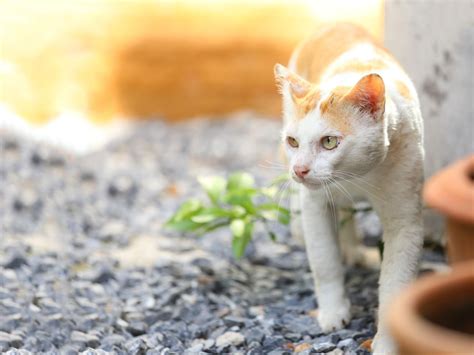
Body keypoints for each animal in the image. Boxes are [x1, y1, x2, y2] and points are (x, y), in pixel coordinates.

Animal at [274, 23, 426, 354]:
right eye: (293, 141)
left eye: (330, 142)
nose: (300, 169)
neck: (358, 176)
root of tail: (337, 23)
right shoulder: (314, 204)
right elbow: (324, 261)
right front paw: (333, 313)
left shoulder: (405, 219)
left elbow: (395, 283)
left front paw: (387, 343)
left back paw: (353, 250)